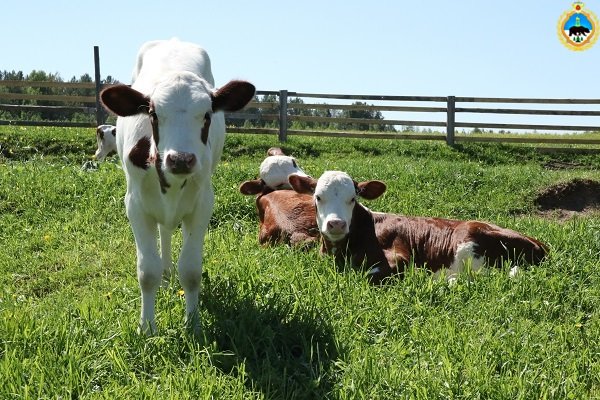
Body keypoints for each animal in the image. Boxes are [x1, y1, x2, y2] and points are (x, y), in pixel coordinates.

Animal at [99, 39, 254, 334]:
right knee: (164, 233)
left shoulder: (203, 203)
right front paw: (147, 328)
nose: (181, 159)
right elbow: (147, 271)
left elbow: (191, 270)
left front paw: (193, 325)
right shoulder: (135, 205)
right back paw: (166, 275)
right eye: (153, 113)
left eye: (206, 115)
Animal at [288, 170, 548, 282]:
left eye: (353, 198)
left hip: (470, 238)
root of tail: (539, 243)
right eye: (318, 197)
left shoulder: (399, 257)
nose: (336, 224)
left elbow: (368, 275)